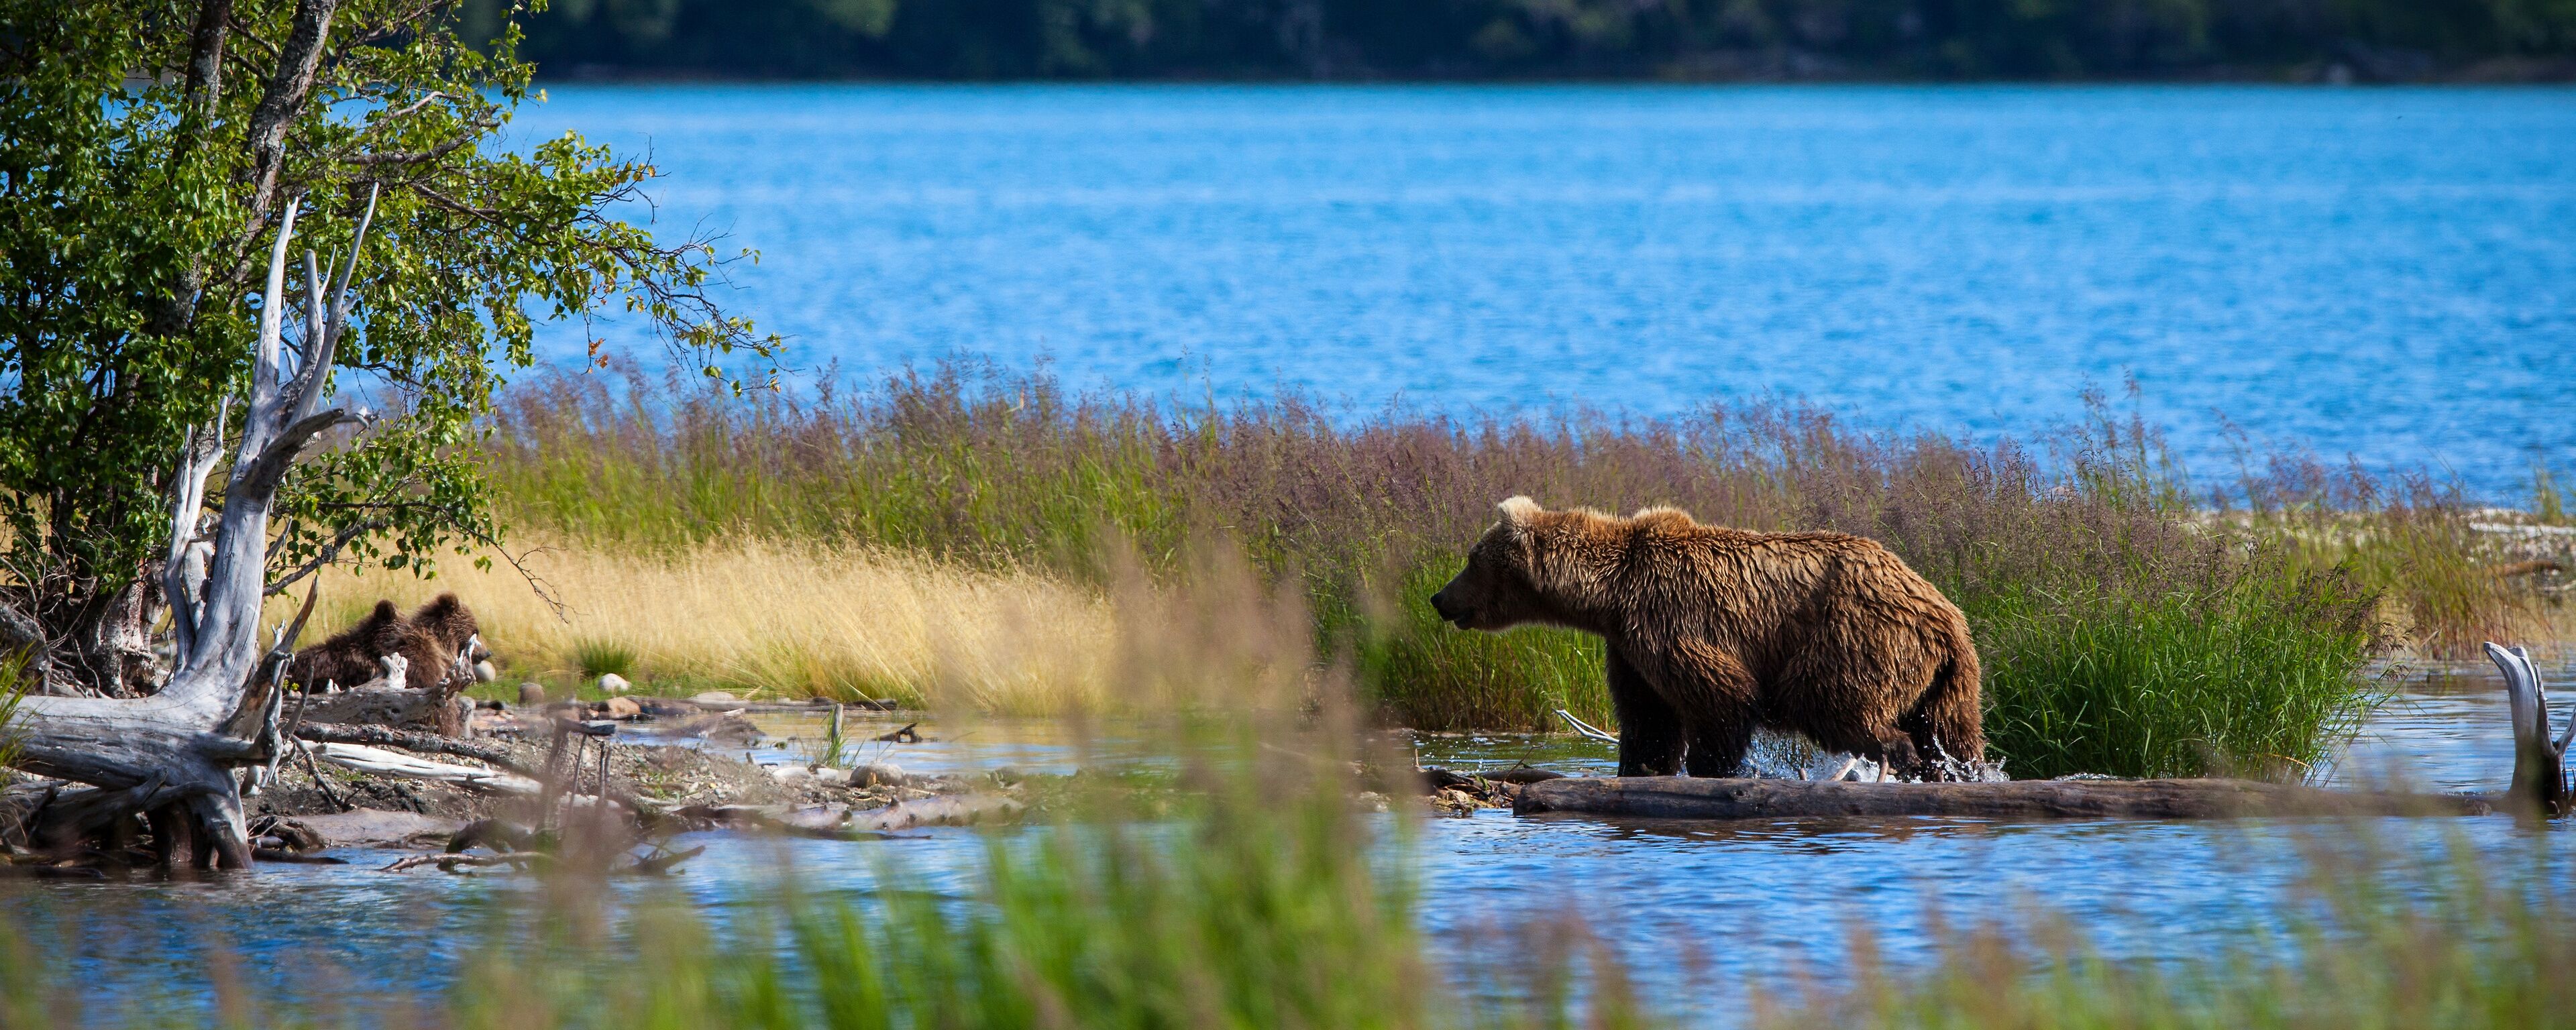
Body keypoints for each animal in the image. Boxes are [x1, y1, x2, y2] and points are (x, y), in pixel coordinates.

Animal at [1428, 497, 1984, 780]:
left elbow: (1720, 697)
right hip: (1950, 675)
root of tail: (1945, 614)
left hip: (1856, 635)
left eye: (1472, 559)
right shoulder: (1628, 649)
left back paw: (1901, 759)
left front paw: (1709, 766)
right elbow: (1648, 719)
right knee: (1953, 731)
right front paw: (1644, 766)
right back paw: (1958, 770)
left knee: (1830, 700)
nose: (1438, 598)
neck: (1610, 595)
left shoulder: (1674, 617)